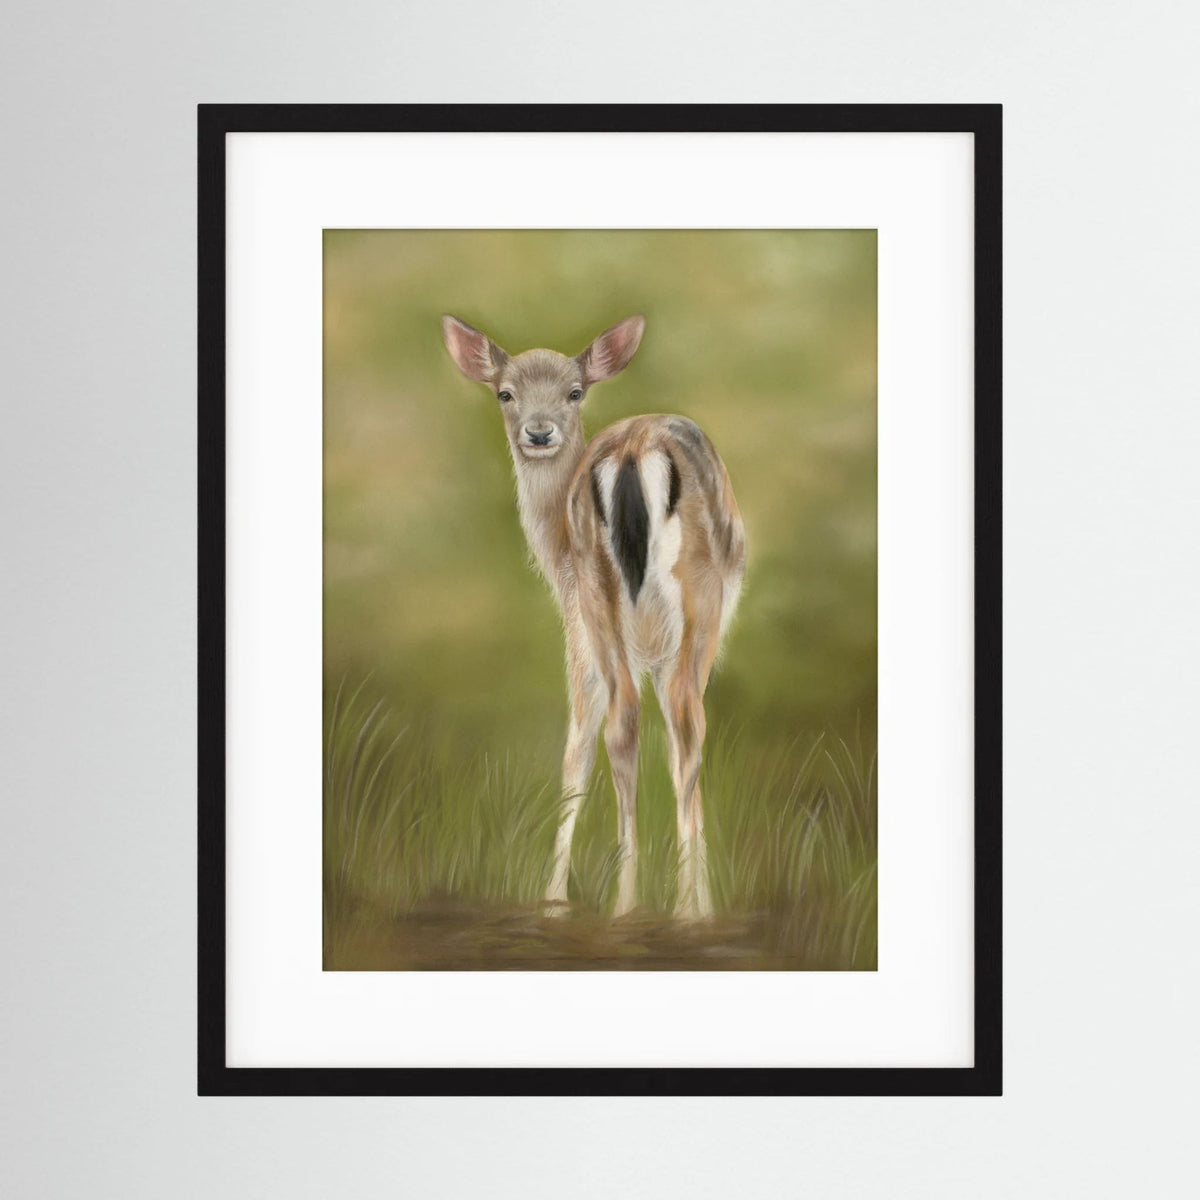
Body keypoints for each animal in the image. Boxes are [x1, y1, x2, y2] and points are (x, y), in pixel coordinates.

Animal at [442, 314, 746, 919]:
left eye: (574, 392)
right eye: (505, 393)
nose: (538, 433)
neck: (554, 555)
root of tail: (632, 452)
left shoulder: (588, 628)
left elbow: (584, 746)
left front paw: (555, 899)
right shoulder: (590, 635)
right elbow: (591, 748)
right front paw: (557, 897)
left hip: (607, 598)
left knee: (633, 723)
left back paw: (634, 904)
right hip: (684, 603)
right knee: (676, 723)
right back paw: (670, 909)